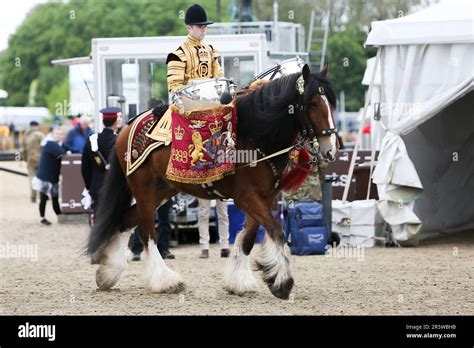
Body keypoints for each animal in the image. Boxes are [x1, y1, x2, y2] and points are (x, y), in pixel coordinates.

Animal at [88, 64, 336, 300]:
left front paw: (240, 281)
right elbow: (276, 229)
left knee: (124, 220)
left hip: (162, 190)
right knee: (147, 232)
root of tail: (127, 127)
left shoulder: (265, 197)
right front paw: (282, 282)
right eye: (314, 103)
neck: (254, 136)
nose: (331, 149)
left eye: (331, 104)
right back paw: (164, 280)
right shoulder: (246, 197)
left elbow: (248, 238)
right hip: (143, 189)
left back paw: (108, 272)